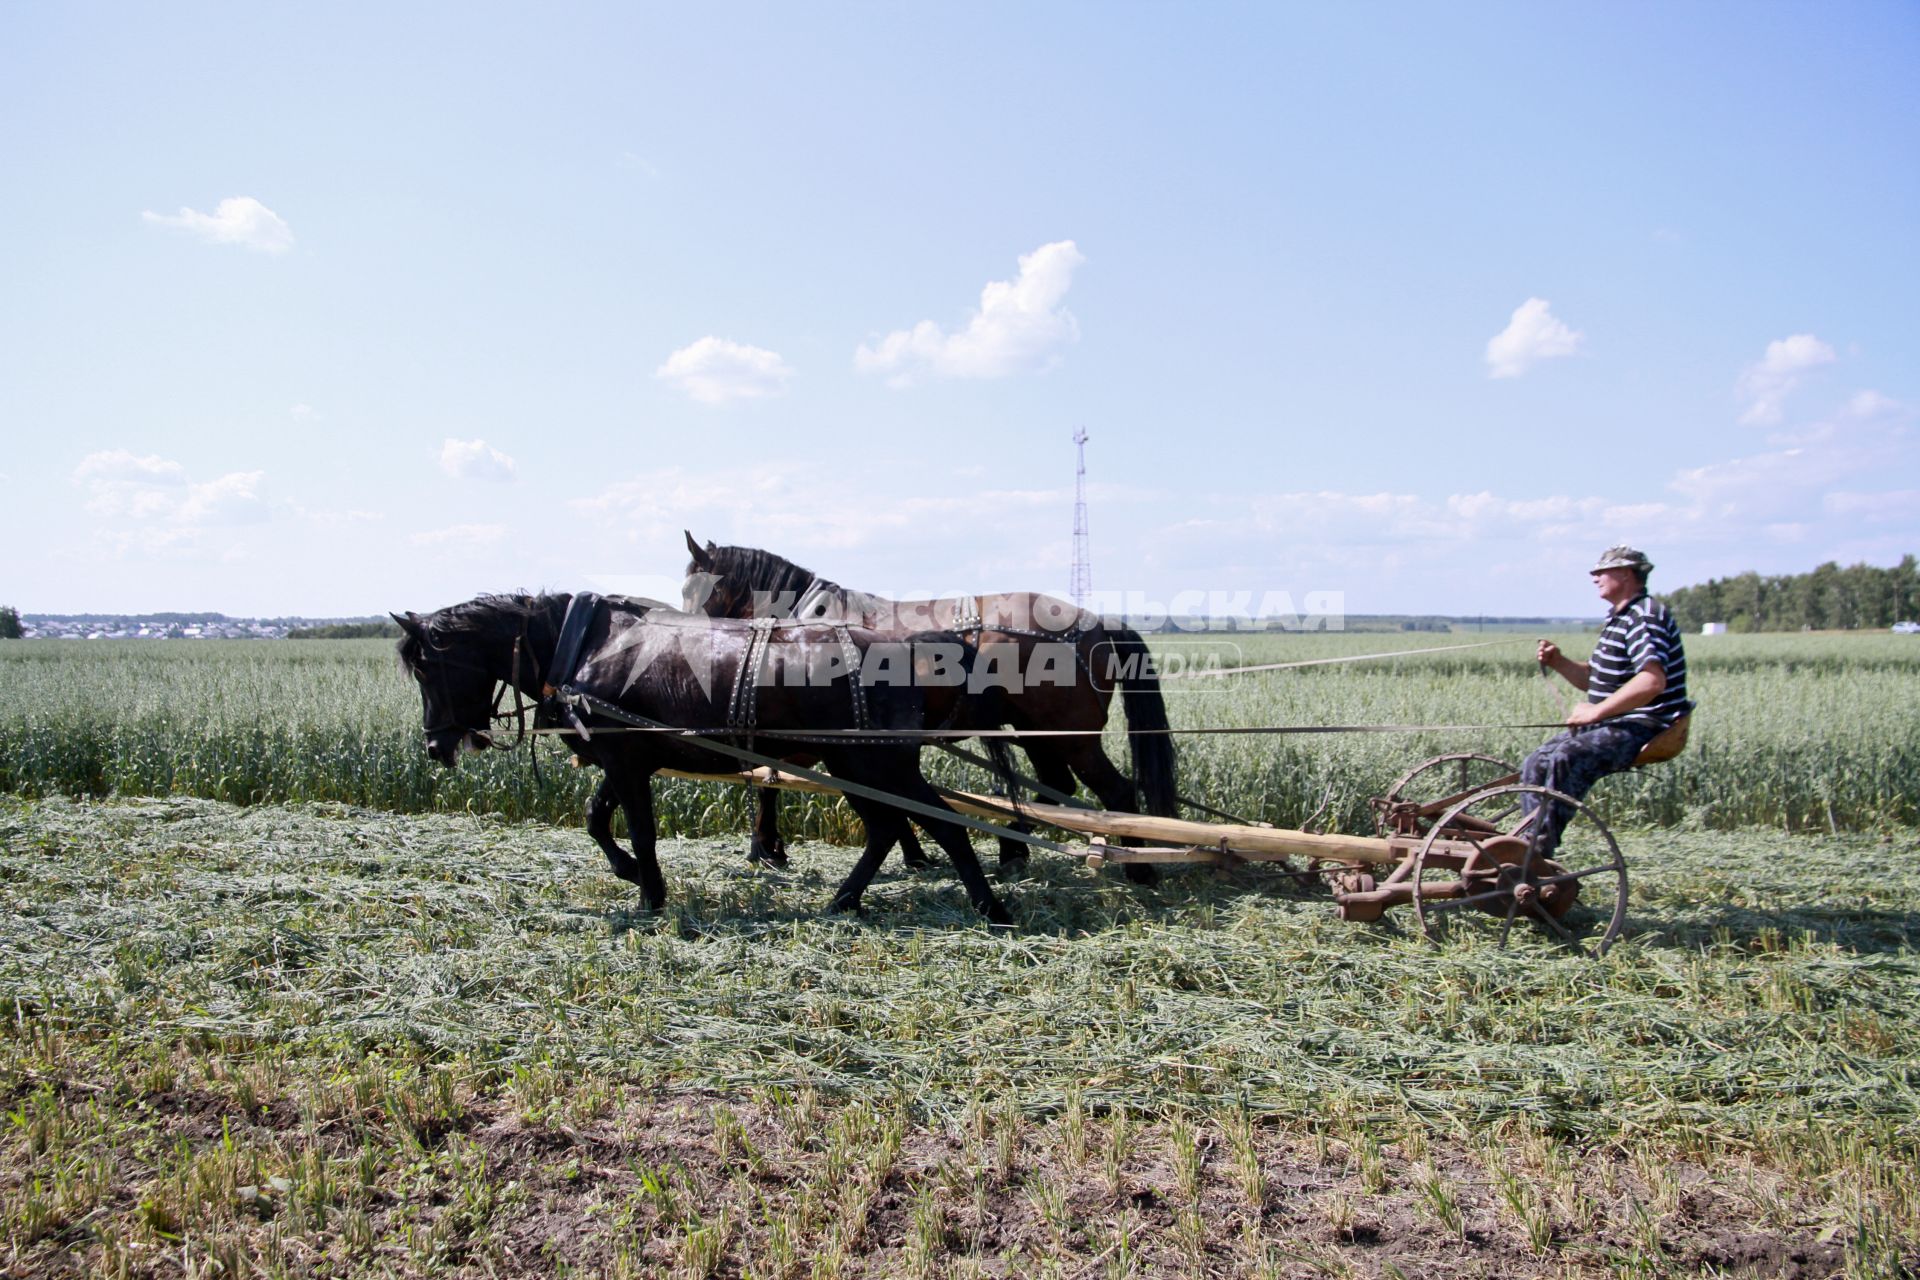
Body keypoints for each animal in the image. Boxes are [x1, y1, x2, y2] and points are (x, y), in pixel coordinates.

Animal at [387, 594, 1021, 924]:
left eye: (430, 667)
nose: (436, 746)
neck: (584, 646)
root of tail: (911, 648)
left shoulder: (624, 761)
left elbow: (639, 829)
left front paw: (649, 897)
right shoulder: (627, 759)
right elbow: (596, 820)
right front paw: (631, 873)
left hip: (878, 763)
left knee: (940, 822)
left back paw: (990, 907)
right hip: (850, 765)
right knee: (889, 826)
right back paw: (844, 900)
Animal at [683, 533, 1175, 882]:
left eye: (696, 588)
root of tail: (1098, 622)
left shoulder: (816, 737)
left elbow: (772, 780)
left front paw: (768, 847)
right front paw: (915, 854)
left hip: (1074, 736)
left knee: (1116, 793)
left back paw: (1140, 869)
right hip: (1036, 731)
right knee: (1058, 787)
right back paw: (1014, 851)